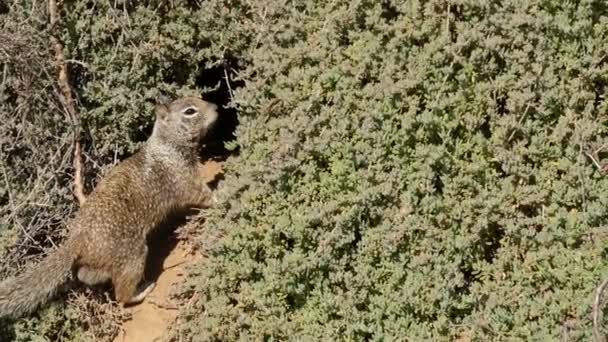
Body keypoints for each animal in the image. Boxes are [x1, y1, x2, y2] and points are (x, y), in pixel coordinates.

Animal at [0, 96, 218, 318]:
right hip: (132, 257)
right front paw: (223, 195)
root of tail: (78, 239)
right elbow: (203, 195)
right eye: (189, 111)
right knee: (121, 295)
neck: (166, 145)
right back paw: (142, 291)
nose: (216, 107)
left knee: (86, 275)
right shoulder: (184, 179)